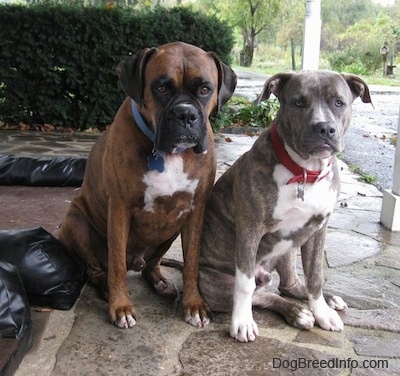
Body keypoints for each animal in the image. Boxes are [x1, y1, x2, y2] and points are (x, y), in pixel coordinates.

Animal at [57, 41, 236, 328]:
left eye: (205, 89)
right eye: (161, 88)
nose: (186, 113)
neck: (169, 154)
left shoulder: (195, 211)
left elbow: (192, 262)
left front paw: (194, 305)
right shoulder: (119, 209)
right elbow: (116, 264)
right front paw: (121, 306)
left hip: (171, 229)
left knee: (151, 265)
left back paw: (160, 282)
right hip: (76, 222)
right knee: (98, 268)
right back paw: (106, 288)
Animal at [195, 71, 374, 344]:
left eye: (339, 102)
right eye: (298, 103)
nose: (324, 128)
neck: (305, 172)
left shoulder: (318, 229)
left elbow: (315, 276)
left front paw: (322, 311)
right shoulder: (250, 228)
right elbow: (244, 285)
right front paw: (242, 323)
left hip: (288, 247)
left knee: (290, 285)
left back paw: (324, 302)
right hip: (215, 285)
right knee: (262, 294)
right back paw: (296, 313)